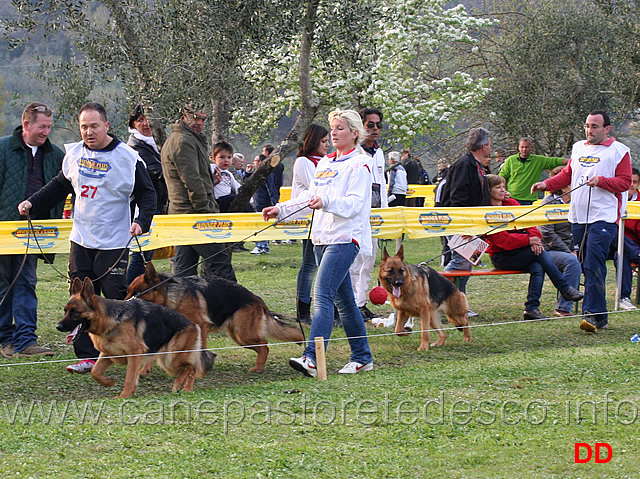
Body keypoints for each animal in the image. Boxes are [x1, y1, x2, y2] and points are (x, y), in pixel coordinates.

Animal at [58, 276, 212, 400]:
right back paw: (186, 388)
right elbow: (95, 372)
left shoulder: (135, 354)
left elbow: (129, 378)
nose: (58, 326)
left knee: (191, 367)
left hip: (171, 358)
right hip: (168, 362)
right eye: (65, 311)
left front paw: (124, 396)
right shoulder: (109, 354)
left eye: (75, 312)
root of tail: (193, 324)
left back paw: (179, 384)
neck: (111, 320)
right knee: (190, 368)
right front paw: (108, 382)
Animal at [127, 264, 304, 374]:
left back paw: (259, 368)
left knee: (265, 346)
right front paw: (145, 370)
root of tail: (258, 299)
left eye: (137, 293)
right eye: (128, 291)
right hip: (238, 336)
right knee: (263, 347)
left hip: (243, 335)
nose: (124, 303)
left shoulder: (201, 326)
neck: (170, 295)